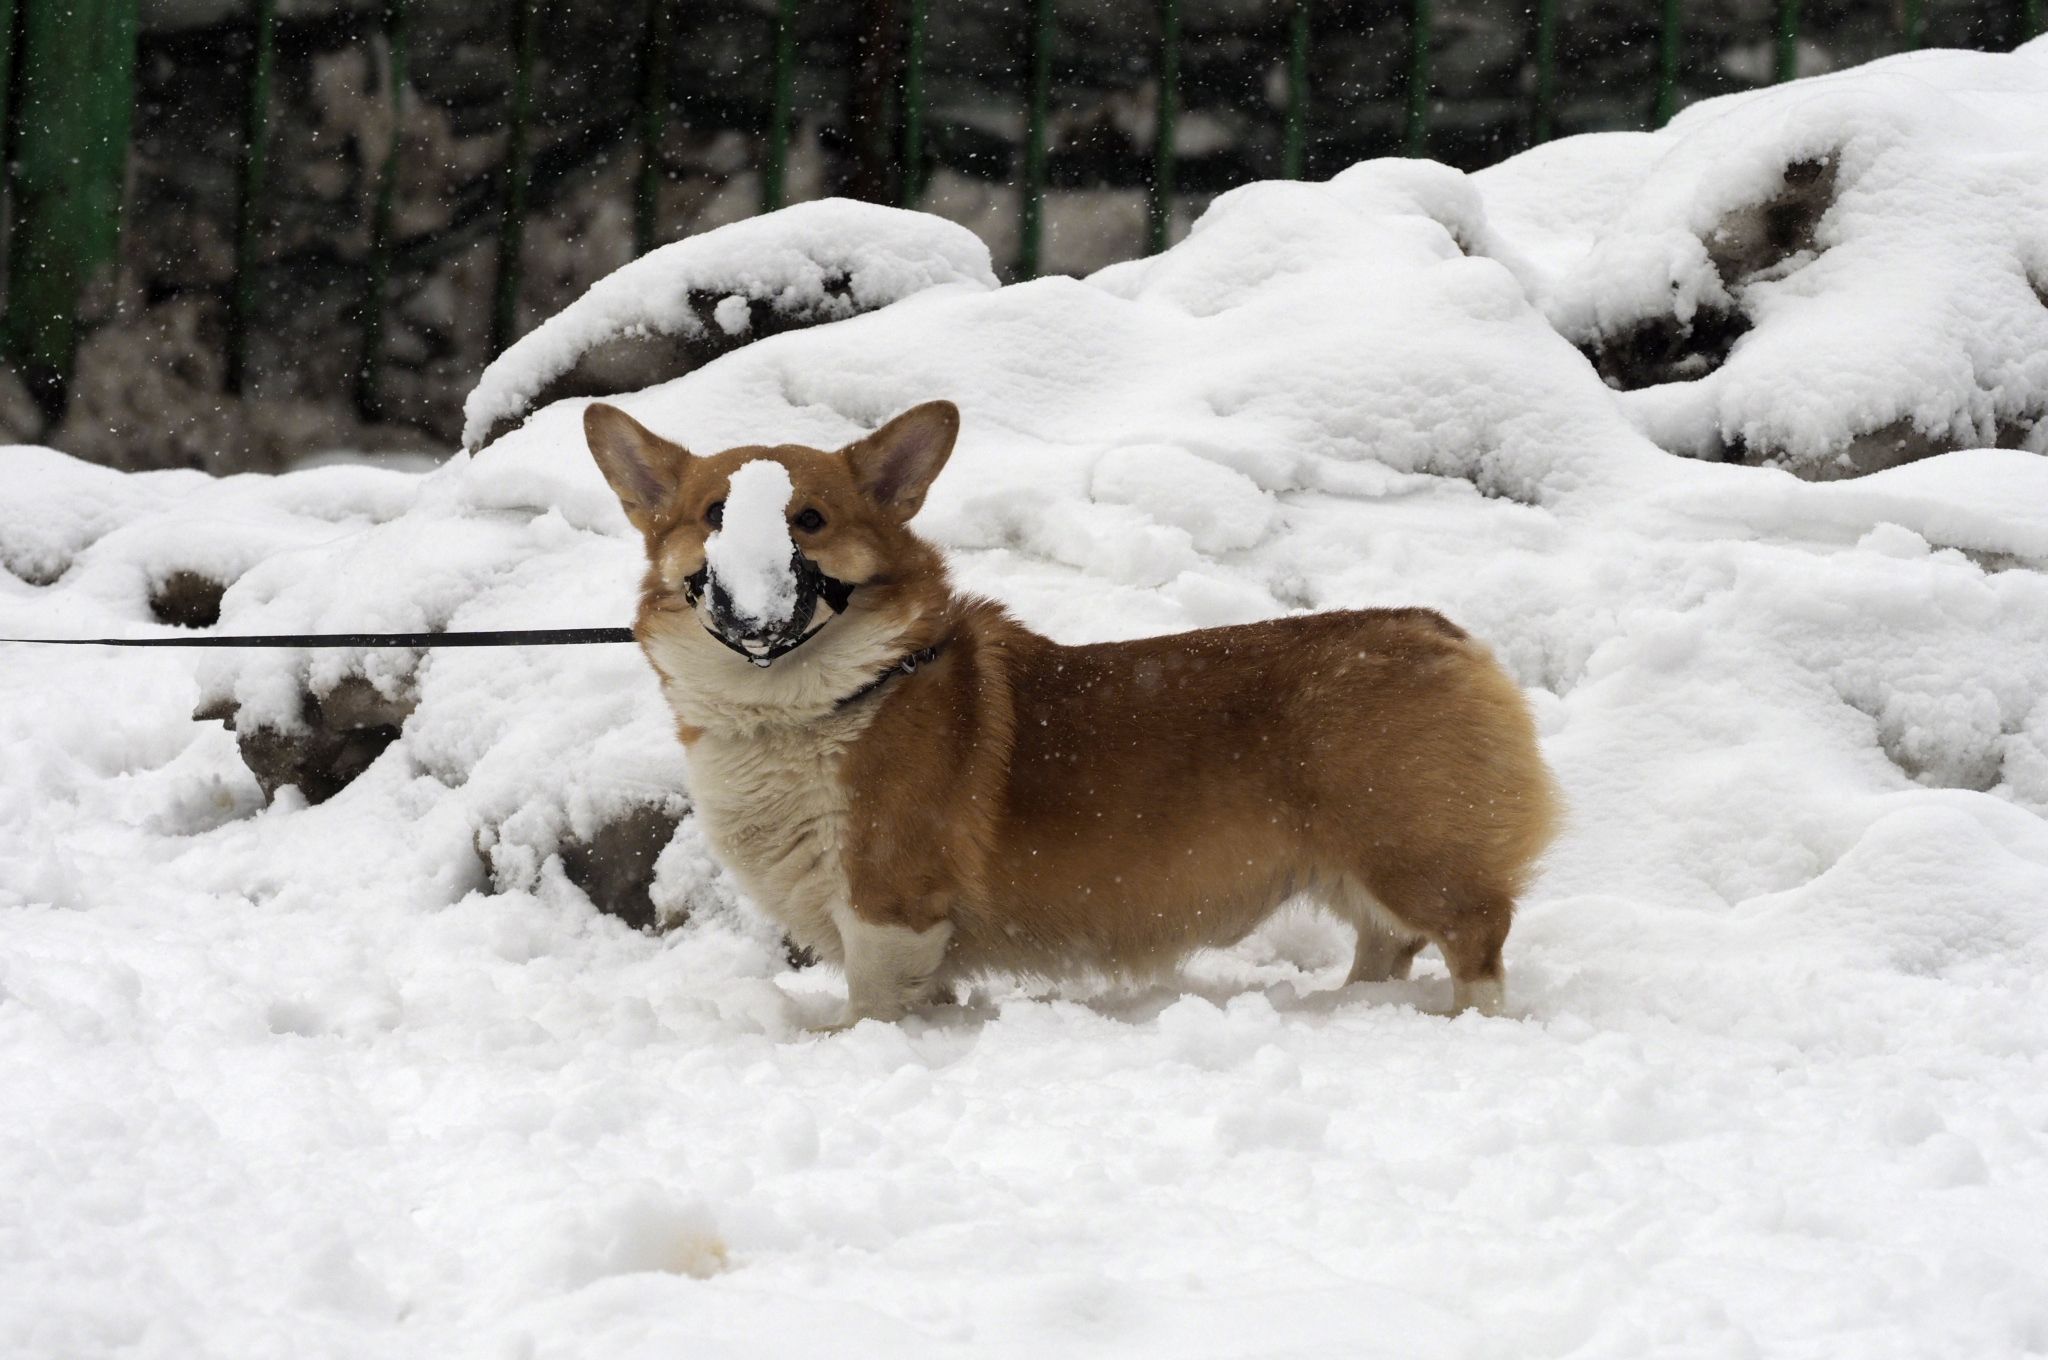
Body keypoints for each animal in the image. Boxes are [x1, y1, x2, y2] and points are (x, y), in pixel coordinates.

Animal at [585, 399, 1556, 1024]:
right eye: (713, 513)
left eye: (813, 519)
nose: (750, 598)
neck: (811, 703)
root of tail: (1443, 631)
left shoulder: (888, 905)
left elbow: (871, 1009)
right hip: (1366, 867)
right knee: (1385, 948)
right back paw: (1354, 1010)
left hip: (1413, 855)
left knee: (1476, 939)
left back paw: (1470, 1026)